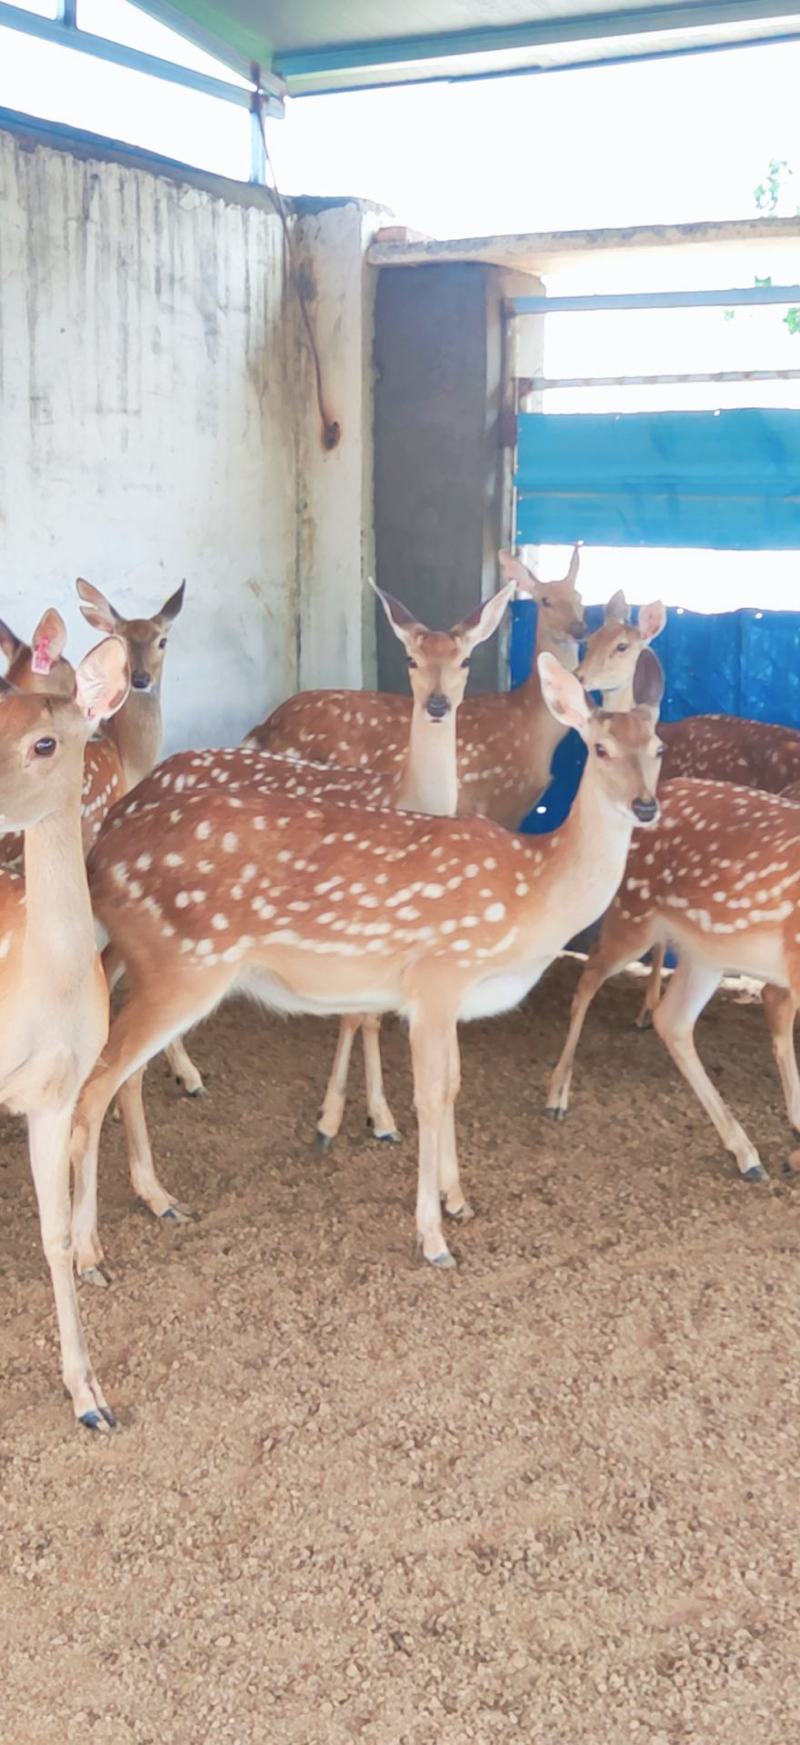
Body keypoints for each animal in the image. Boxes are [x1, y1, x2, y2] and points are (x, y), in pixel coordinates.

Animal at [68, 646, 664, 1286]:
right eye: (598, 748)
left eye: (658, 747)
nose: (645, 805)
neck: (533, 890)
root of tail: (100, 857)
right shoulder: (437, 975)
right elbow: (430, 1096)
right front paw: (434, 1237)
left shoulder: (453, 997)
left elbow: (454, 1086)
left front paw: (458, 1199)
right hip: (181, 965)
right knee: (94, 1085)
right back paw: (89, 1256)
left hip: (160, 969)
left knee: (122, 1078)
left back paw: (160, 1200)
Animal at [246, 549, 589, 829]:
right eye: (545, 600)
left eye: (580, 597)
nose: (580, 628)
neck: (531, 726)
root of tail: (264, 726)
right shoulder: (496, 799)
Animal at [544, 774, 800, 1179]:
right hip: (634, 912)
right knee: (588, 979)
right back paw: (557, 1095)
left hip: (706, 949)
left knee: (674, 1020)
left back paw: (747, 1154)